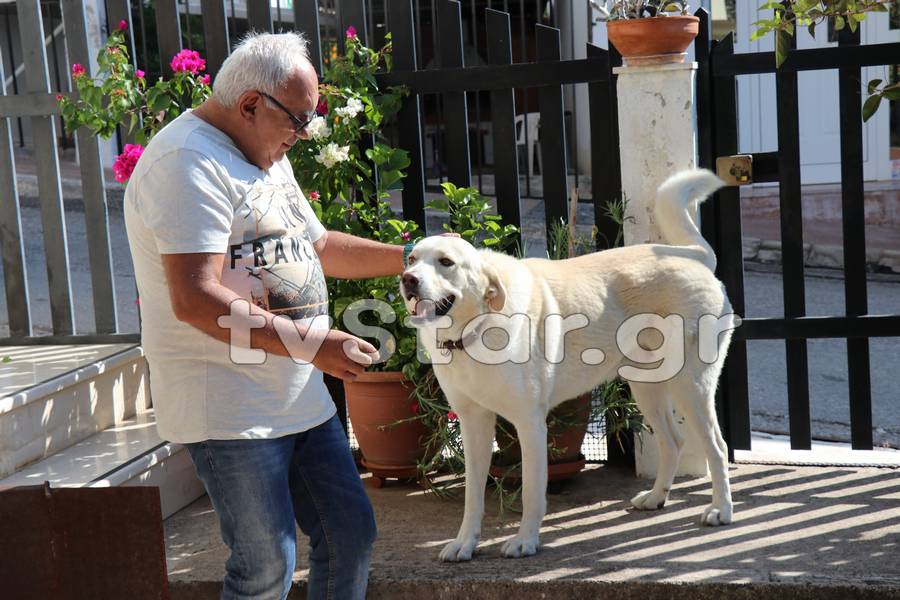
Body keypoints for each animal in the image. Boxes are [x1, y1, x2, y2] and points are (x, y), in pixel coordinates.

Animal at [404, 170, 736, 564]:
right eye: (411, 259)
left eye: (446, 262)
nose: (408, 280)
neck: (475, 329)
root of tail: (693, 257)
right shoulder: (474, 423)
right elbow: (473, 495)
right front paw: (465, 543)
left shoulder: (530, 423)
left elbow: (532, 491)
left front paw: (526, 541)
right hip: (646, 387)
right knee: (674, 441)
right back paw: (657, 497)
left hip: (691, 387)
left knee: (717, 446)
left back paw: (721, 510)